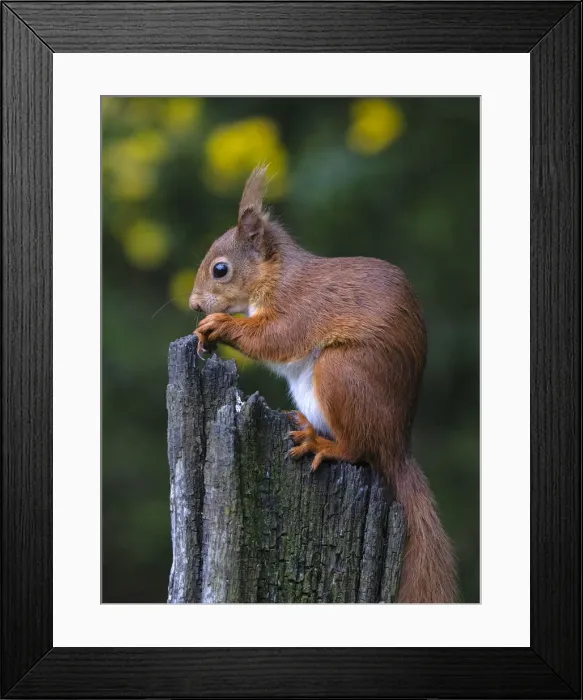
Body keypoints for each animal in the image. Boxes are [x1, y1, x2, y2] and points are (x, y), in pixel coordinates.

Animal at [189, 165, 458, 603]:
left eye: (220, 269)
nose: (195, 305)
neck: (276, 275)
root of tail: (398, 443)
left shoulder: (300, 306)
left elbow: (276, 338)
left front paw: (220, 325)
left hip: (342, 372)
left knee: (359, 449)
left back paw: (323, 445)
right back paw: (305, 425)